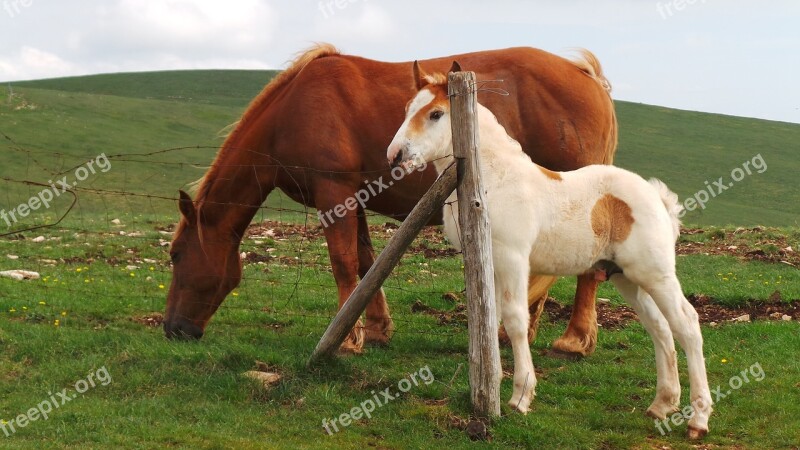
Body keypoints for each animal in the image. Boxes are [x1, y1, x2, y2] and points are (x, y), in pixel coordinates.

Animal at [164, 44, 620, 356]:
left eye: (175, 255)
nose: (171, 329)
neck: (292, 111)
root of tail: (586, 75)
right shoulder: (353, 196)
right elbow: (366, 262)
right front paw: (376, 328)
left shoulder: (333, 193)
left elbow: (343, 262)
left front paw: (348, 339)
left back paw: (574, 339)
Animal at [388, 67, 712, 440]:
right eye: (408, 109)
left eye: (436, 114)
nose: (395, 155)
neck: (494, 180)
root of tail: (657, 197)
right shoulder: (488, 264)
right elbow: (490, 320)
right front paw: (491, 384)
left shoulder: (513, 259)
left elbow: (516, 320)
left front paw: (520, 396)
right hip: (626, 277)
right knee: (659, 327)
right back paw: (662, 404)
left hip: (656, 274)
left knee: (687, 324)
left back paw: (698, 419)